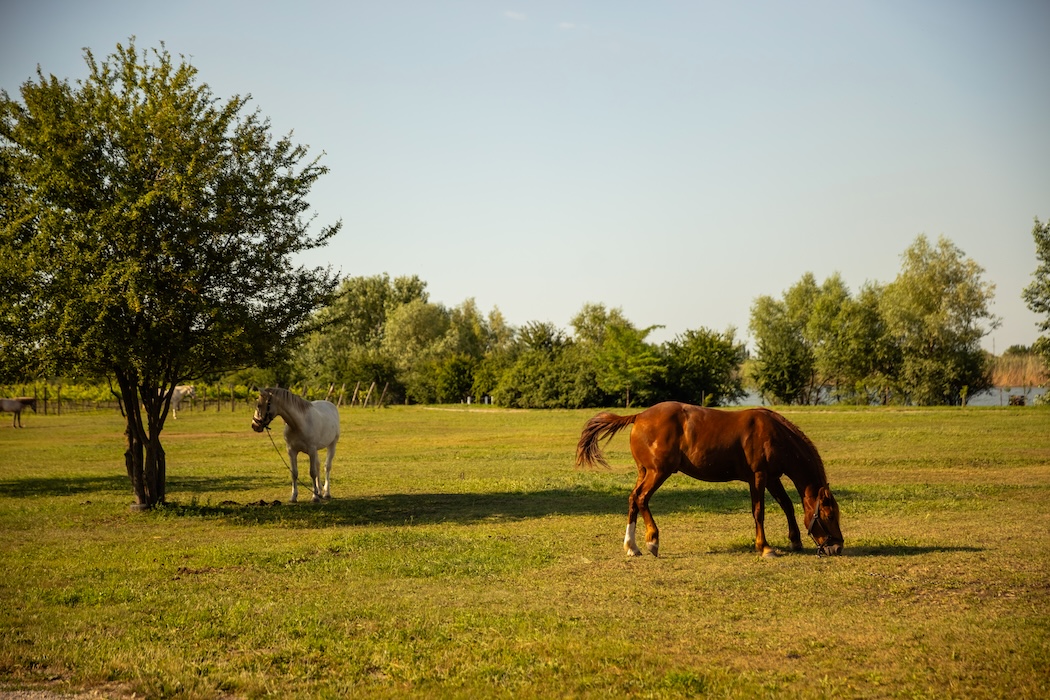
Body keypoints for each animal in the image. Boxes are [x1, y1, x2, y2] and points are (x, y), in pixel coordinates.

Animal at [576, 401, 844, 558]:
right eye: (830, 515)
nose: (838, 547)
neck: (774, 434)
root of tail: (639, 416)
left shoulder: (772, 478)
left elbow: (786, 505)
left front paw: (795, 541)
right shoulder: (758, 477)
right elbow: (759, 511)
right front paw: (765, 547)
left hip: (645, 472)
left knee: (633, 499)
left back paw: (632, 546)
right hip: (658, 472)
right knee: (641, 499)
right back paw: (652, 540)